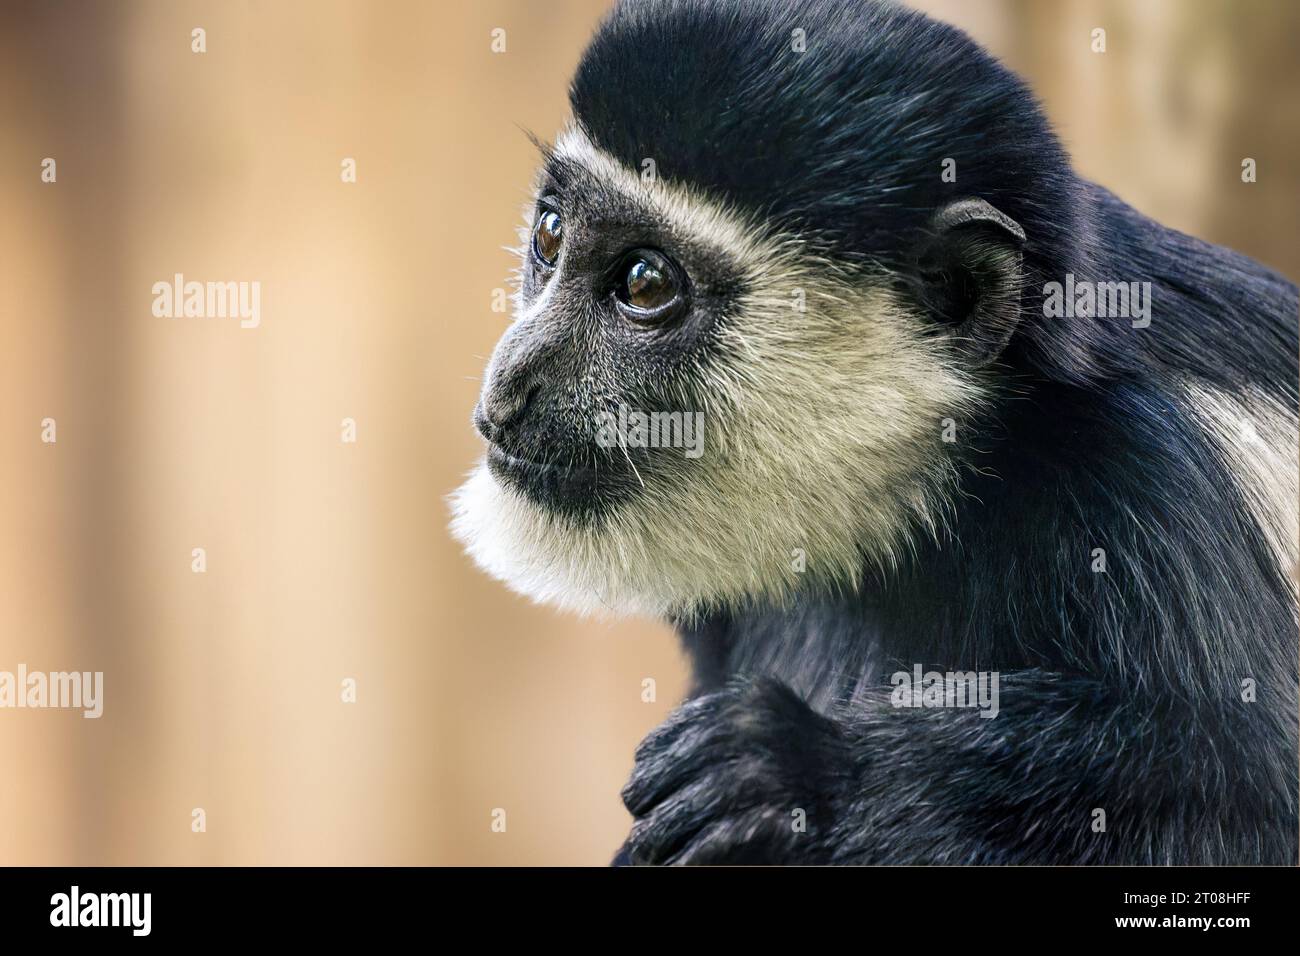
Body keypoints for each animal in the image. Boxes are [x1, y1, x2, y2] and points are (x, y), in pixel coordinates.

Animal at [452, 0, 1294, 868]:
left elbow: (1239, 803)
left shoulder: (1149, 479)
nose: (510, 385)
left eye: (645, 285)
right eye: (551, 234)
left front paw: (798, 773)